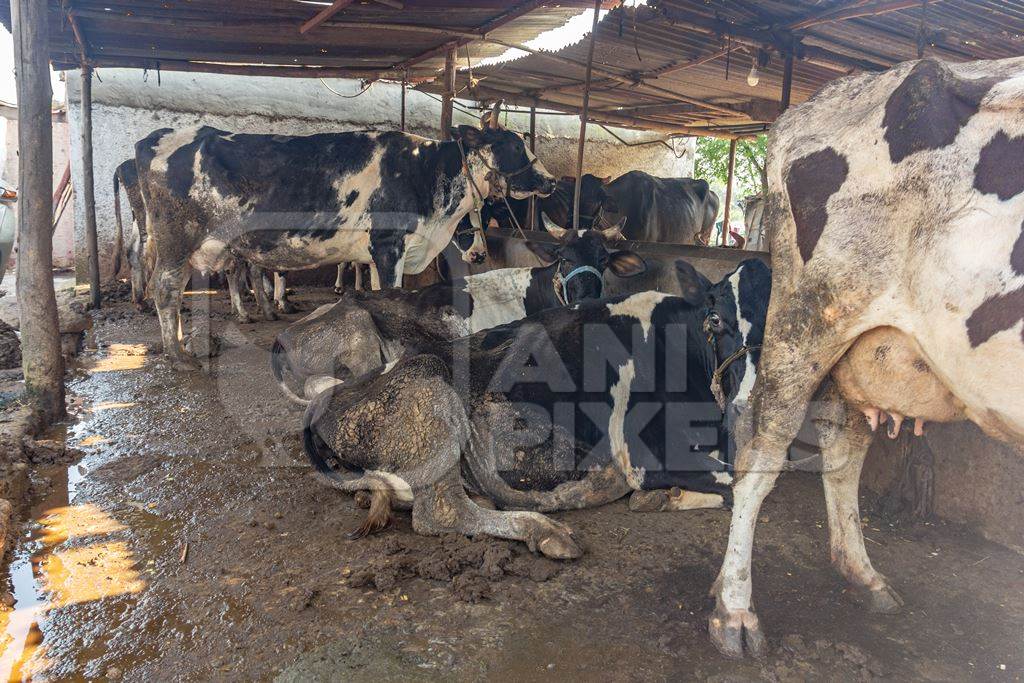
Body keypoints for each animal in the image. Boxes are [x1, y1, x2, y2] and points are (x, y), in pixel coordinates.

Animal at [136, 122, 557, 368]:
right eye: (514, 146)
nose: (550, 180)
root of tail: (158, 136)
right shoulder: (388, 245)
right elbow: (391, 293)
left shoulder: (377, 252)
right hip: (177, 240)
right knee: (166, 289)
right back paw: (178, 355)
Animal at [301, 259, 770, 552]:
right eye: (716, 320)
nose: (748, 402)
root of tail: (326, 402)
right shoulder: (646, 454)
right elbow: (743, 482)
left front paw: (663, 499)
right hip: (430, 388)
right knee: (442, 512)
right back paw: (545, 529)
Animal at [708, 58, 1024, 663]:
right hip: (811, 319)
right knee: (761, 453)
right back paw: (734, 609)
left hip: (861, 349)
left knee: (843, 447)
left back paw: (861, 573)